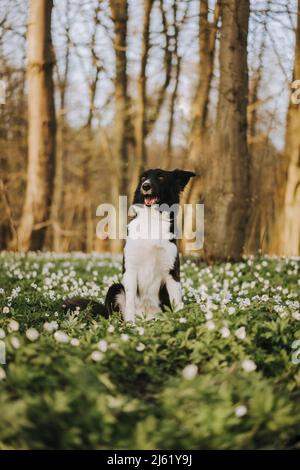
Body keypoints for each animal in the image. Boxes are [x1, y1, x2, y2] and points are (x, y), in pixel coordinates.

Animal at [64, 169, 196, 324]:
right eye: (143, 178)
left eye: (161, 177)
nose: (145, 186)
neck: (151, 221)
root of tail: (146, 319)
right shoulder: (130, 270)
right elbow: (131, 301)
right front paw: (130, 325)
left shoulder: (172, 273)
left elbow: (176, 302)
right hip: (114, 288)